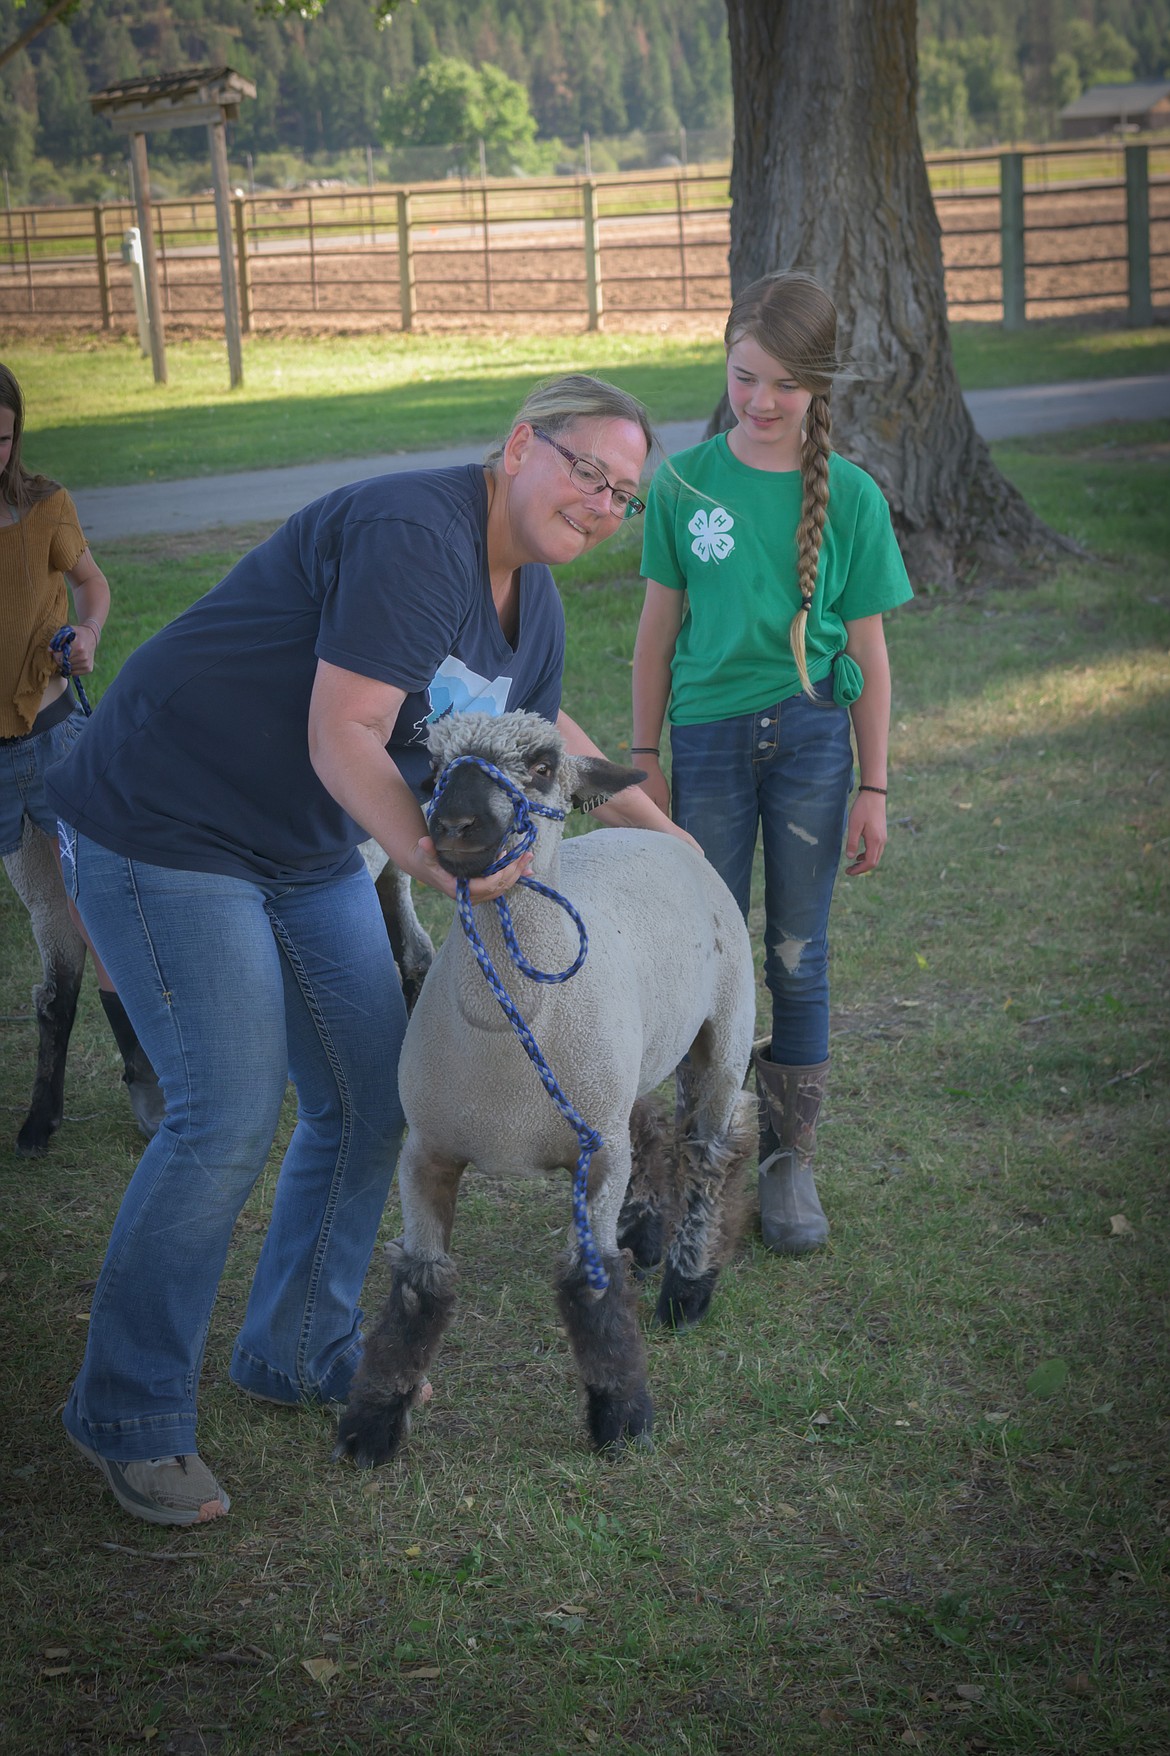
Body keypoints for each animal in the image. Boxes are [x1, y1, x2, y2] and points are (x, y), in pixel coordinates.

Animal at [335, 709, 755, 1468]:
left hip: (726, 1030)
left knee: (712, 1153)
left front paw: (622, 1415)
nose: (455, 826)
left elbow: (590, 1281)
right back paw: (645, 1234)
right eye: (432, 768)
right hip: (628, 1064)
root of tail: (661, 833)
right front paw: (372, 1423)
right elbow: (419, 1285)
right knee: (651, 1126)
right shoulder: (428, 1151)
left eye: (539, 764)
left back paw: (687, 1287)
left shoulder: (598, 1156)